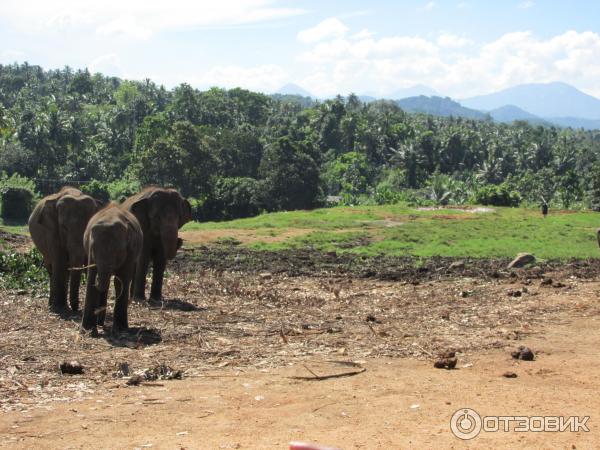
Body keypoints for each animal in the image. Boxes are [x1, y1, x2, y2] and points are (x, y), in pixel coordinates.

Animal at [81, 204, 144, 334]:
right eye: (93, 248)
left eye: (118, 251)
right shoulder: (90, 252)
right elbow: (91, 278)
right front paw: (87, 331)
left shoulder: (131, 250)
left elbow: (121, 280)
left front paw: (120, 329)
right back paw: (99, 323)